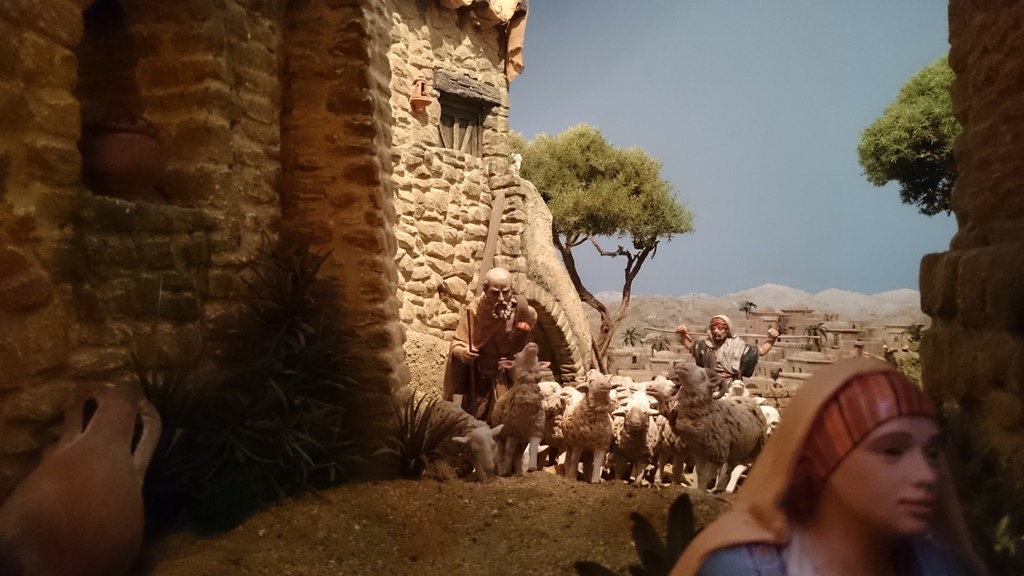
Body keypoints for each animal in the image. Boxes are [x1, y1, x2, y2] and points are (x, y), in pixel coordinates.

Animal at [490, 342, 550, 475]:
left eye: (537, 356)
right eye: (516, 355)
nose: (532, 344)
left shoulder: (536, 432)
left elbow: (532, 450)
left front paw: (532, 468)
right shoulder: (512, 433)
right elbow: (508, 452)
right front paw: (507, 471)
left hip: (522, 441)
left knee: (518, 455)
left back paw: (518, 471)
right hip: (501, 435)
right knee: (501, 453)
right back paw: (502, 471)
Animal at [646, 363, 767, 492]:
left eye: (702, 375)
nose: (649, 386)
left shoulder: (700, 453)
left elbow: (685, 471)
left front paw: (681, 487)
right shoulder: (668, 448)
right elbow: (662, 465)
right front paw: (658, 483)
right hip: (735, 451)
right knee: (728, 470)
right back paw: (719, 490)